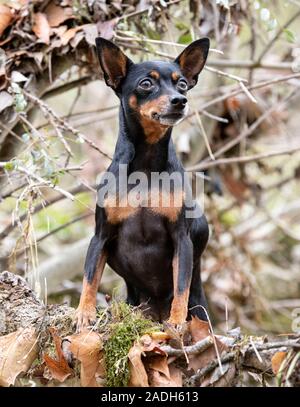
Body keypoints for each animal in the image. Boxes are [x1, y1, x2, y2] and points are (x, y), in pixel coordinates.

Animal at [74, 36, 210, 334]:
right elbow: (89, 277)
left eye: (183, 84)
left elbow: (181, 285)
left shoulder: (181, 239)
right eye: (146, 83)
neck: (146, 168)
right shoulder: (100, 236)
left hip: (200, 308)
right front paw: (84, 313)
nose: (180, 100)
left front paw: (176, 321)